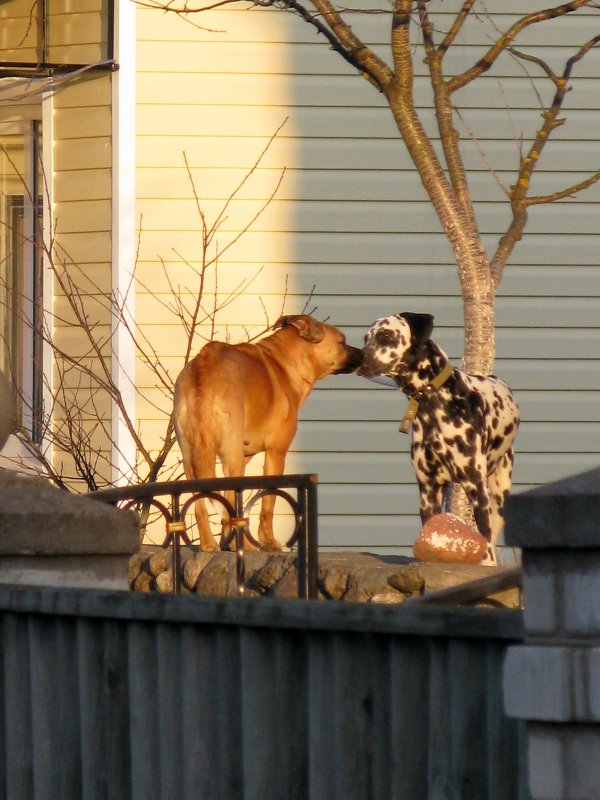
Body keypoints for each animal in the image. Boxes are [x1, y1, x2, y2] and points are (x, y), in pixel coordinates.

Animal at [173, 312, 360, 552]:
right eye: (342, 341)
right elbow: (268, 502)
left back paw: (209, 544)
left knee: (201, 505)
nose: (364, 354)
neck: (286, 362)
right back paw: (245, 546)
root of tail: (203, 370)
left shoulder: (245, 457)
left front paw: (228, 542)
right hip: (231, 458)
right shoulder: (275, 453)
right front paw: (269, 542)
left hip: (191, 458)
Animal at [356, 310, 520, 564]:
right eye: (366, 338)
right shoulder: (429, 491)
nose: (359, 359)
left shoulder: (477, 490)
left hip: (499, 500)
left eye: (385, 335)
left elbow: (485, 541)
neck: (435, 407)